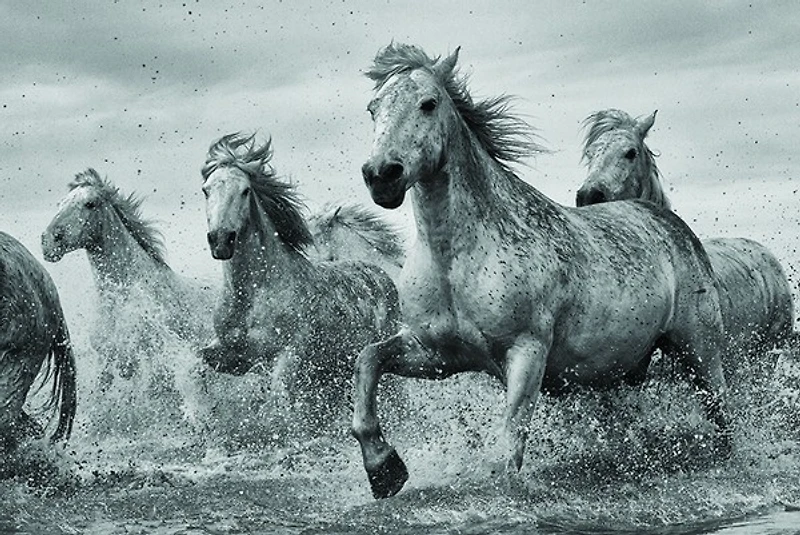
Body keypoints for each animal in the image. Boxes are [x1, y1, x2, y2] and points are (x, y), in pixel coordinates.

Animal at [198, 133, 400, 429]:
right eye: (206, 190)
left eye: (245, 191)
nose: (221, 240)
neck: (251, 295)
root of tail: (380, 275)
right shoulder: (231, 355)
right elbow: (196, 365)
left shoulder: (289, 356)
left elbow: (275, 405)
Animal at [352, 43, 732, 499]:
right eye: (373, 109)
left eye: (428, 104)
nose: (381, 176)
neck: (457, 260)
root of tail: (664, 219)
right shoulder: (436, 353)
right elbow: (368, 361)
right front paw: (382, 468)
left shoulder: (526, 351)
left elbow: (511, 438)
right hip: (623, 372)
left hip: (700, 351)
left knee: (723, 415)